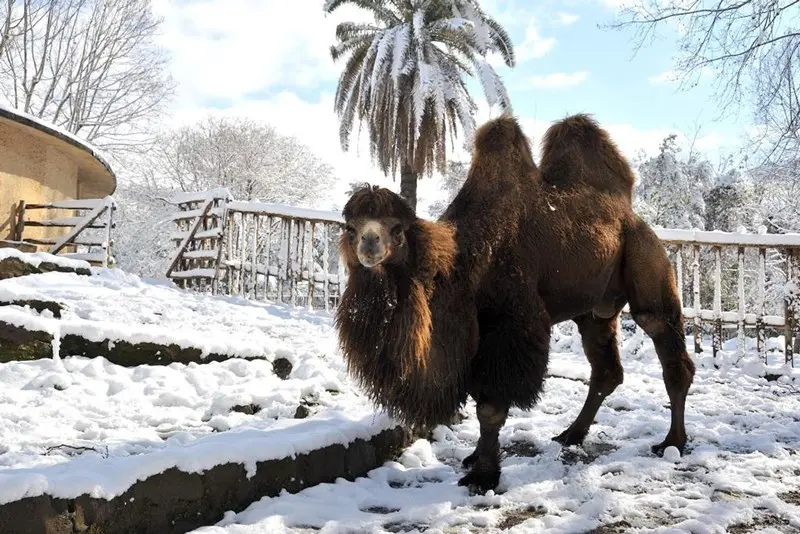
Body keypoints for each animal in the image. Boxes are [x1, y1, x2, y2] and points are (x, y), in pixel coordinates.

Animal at [332, 112, 692, 494]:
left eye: (397, 228)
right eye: (349, 226)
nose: (369, 243)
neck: (462, 264)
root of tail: (632, 215)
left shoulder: (509, 325)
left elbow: (490, 407)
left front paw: (483, 476)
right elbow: (480, 401)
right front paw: (475, 458)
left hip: (645, 258)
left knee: (663, 338)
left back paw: (672, 442)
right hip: (594, 310)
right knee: (606, 369)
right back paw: (571, 434)